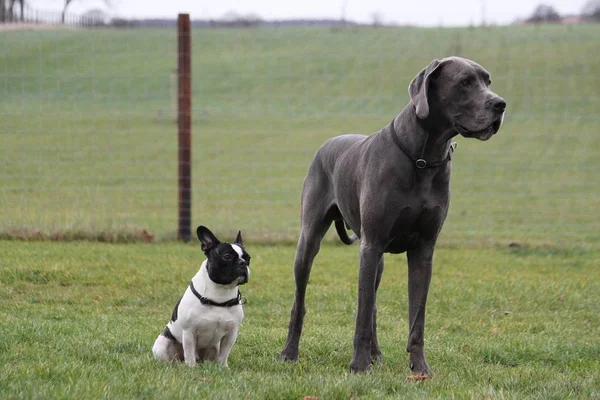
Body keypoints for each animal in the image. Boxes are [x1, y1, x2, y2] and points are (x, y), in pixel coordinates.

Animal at [155, 225, 251, 366]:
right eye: (227, 256)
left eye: (248, 258)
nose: (243, 262)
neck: (220, 294)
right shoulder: (189, 332)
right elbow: (189, 354)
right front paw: (191, 367)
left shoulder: (231, 334)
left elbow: (224, 354)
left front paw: (223, 367)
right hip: (162, 344)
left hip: (214, 347)